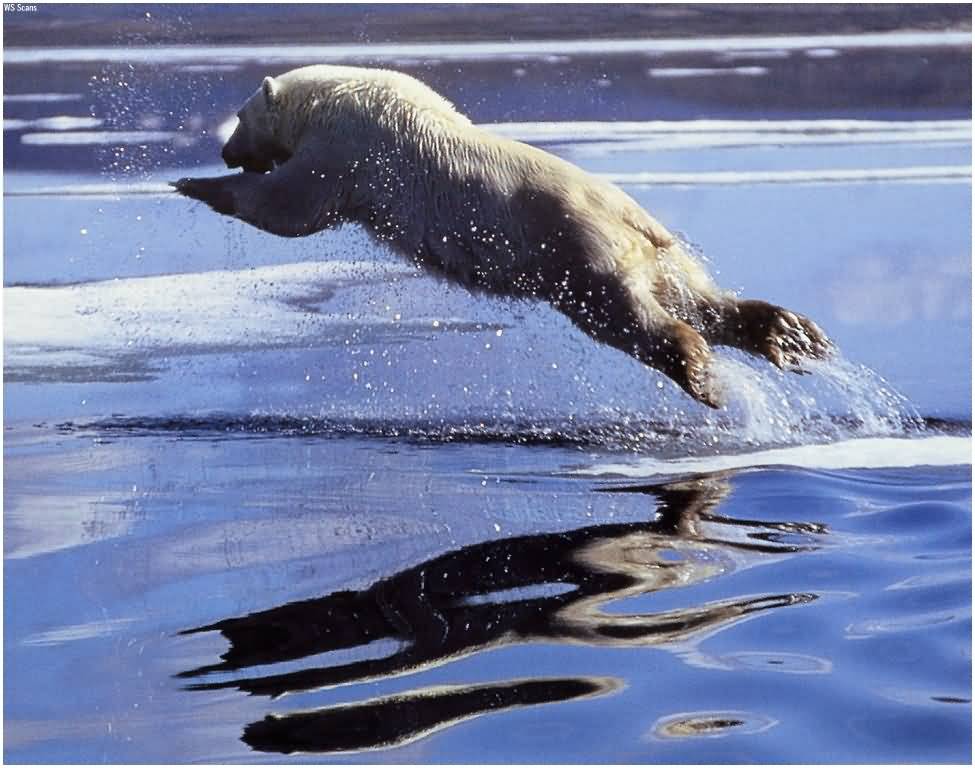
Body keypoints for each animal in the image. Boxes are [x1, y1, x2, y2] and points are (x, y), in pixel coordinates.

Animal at [173, 65, 832, 407]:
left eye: (239, 119)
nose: (226, 152)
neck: (333, 94)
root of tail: (637, 219)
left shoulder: (348, 150)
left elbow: (291, 209)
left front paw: (194, 183)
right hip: (656, 255)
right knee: (701, 300)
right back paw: (789, 334)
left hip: (577, 253)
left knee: (632, 317)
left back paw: (699, 373)